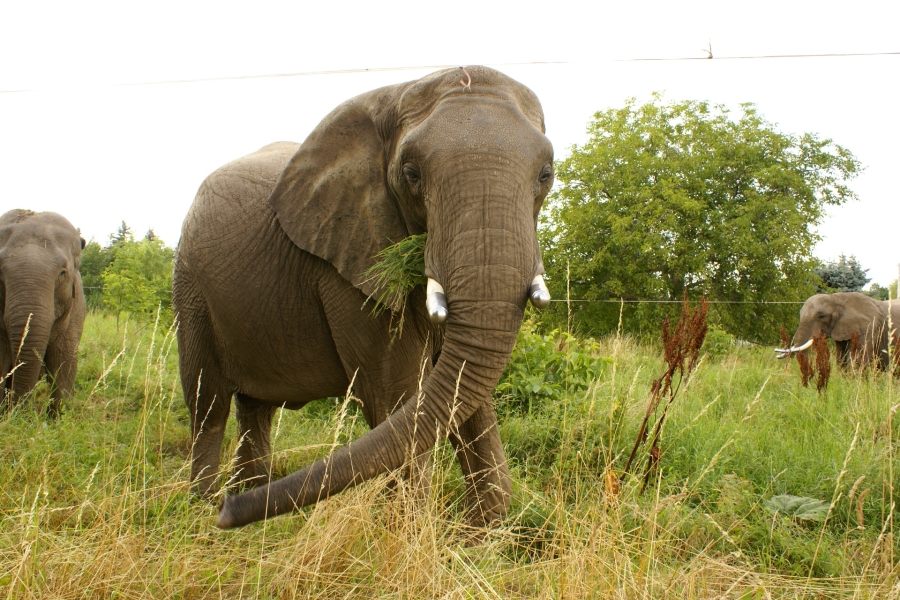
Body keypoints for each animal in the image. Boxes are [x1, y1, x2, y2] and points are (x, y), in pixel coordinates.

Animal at [173, 67, 556, 528]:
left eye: (546, 174)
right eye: (411, 173)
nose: (228, 515)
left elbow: (466, 394)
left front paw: (482, 534)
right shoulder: (345, 263)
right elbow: (398, 396)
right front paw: (413, 536)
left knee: (256, 410)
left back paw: (250, 499)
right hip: (191, 286)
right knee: (208, 405)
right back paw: (202, 511)